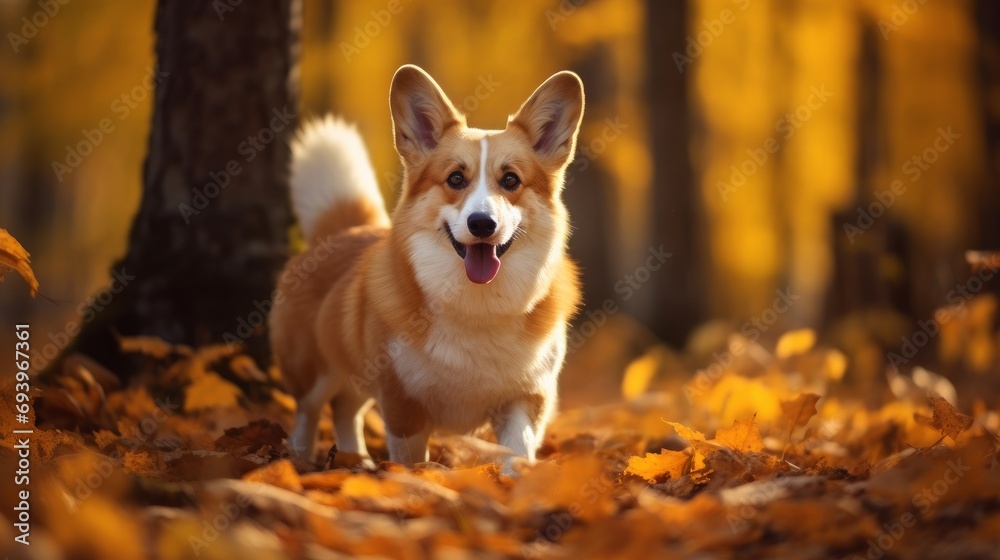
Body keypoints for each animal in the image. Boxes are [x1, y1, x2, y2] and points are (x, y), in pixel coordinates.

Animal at [272, 65, 584, 472]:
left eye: (511, 180)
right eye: (455, 178)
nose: (482, 224)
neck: (478, 305)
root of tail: (341, 229)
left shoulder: (526, 398)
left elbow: (516, 453)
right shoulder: (402, 402)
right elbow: (410, 462)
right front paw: (411, 481)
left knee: (344, 410)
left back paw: (357, 463)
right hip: (314, 373)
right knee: (309, 412)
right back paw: (298, 459)